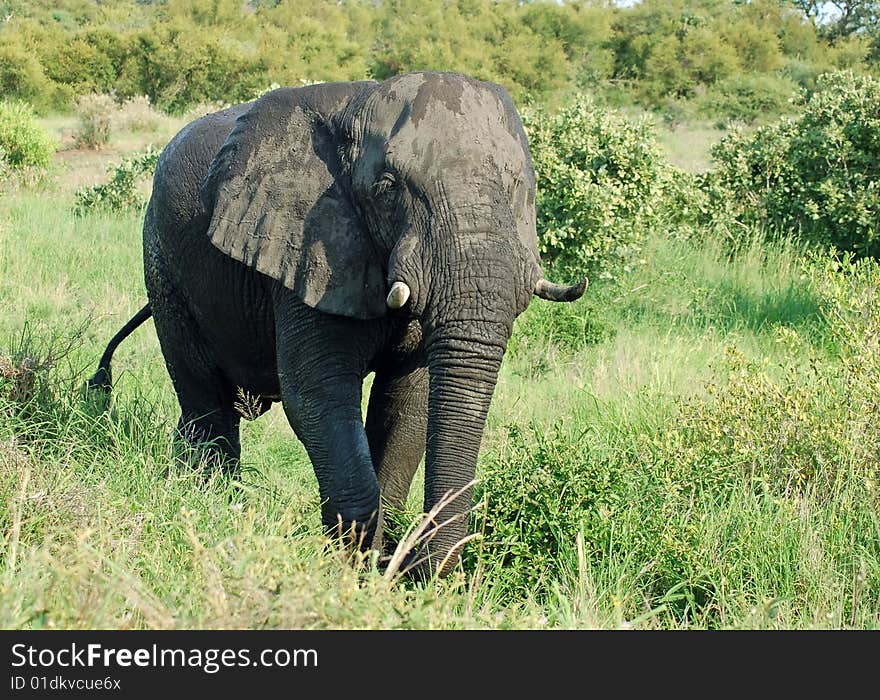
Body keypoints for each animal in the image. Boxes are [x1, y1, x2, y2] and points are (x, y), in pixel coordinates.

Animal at [89, 71, 588, 576]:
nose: (422, 570)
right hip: (163, 261)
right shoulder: (306, 246)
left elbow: (407, 403)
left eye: (520, 187)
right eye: (388, 188)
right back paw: (211, 503)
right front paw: (355, 566)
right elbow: (318, 393)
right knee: (205, 398)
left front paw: (384, 563)